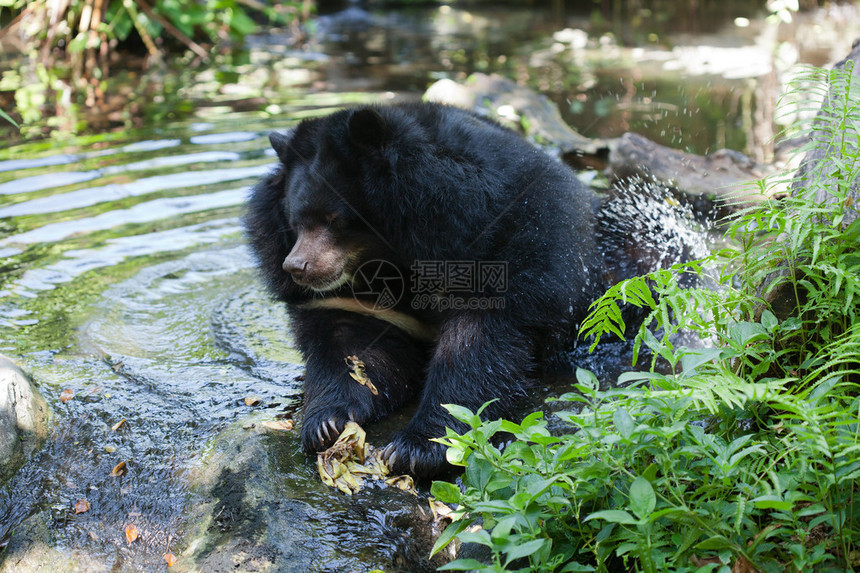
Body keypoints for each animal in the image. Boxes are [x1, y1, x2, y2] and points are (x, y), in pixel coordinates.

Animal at [244, 103, 612, 478]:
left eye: (336, 219)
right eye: (295, 221)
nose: (296, 267)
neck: (389, 260)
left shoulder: (510, 249)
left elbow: (475, 350)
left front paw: (416, 449)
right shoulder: (354, 303)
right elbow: (355, 353)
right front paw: (326, 425)